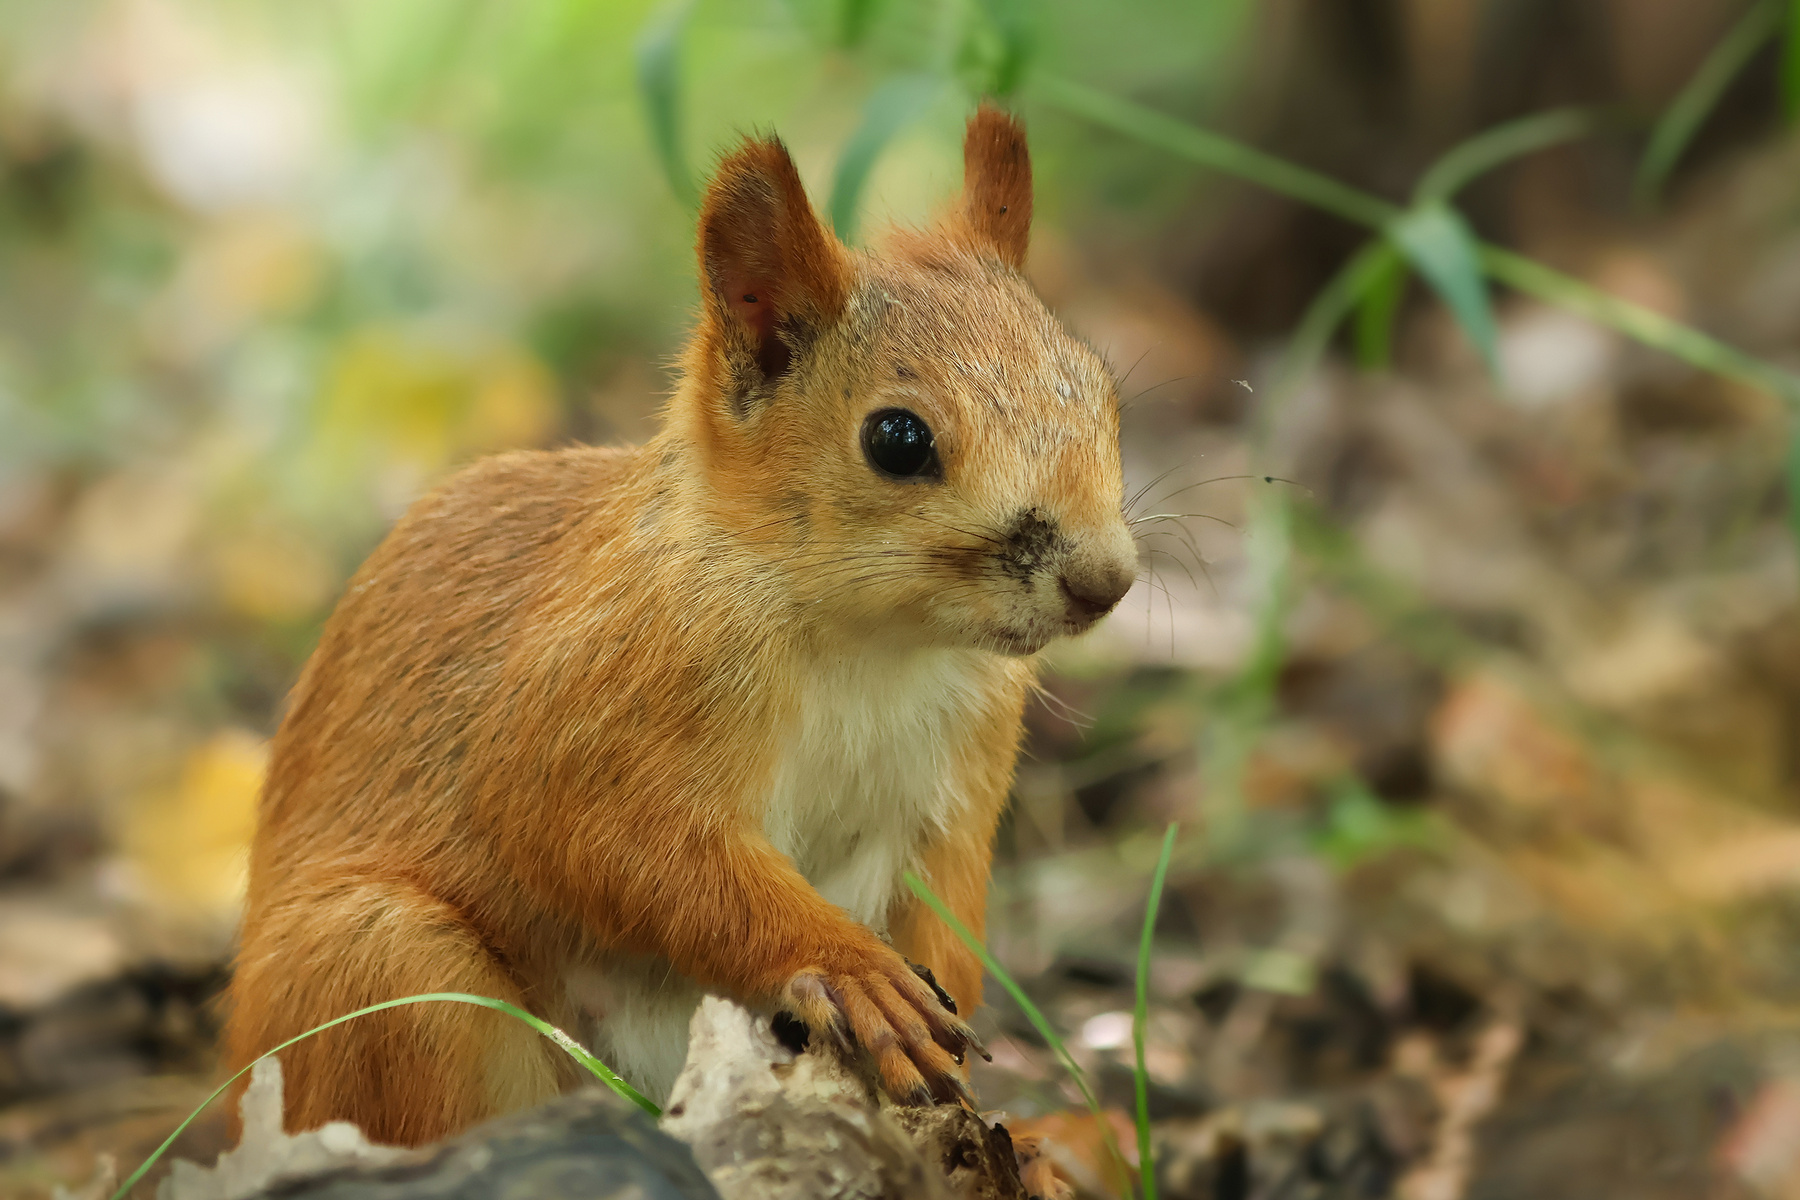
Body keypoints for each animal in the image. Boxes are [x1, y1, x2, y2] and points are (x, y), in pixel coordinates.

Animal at [223, 104, 1139, 1146]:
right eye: (897, 439)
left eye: (1101, 390)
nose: (1105, 581)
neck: (874, 642)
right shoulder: (604, 695)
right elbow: (619, 843)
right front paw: (854, 971)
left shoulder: (961, 764)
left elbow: (944, 906)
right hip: (385, 977)